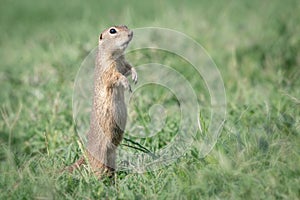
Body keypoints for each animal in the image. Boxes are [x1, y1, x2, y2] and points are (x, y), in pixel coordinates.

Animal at [67, 25, 137, 178]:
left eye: (125, 26)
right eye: (112, 31)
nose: (131, 33)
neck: (115, 55)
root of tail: (87, 152)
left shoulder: (123, 63)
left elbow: (129, 67)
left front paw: (135, 76)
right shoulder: (108, 69)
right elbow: (116, 76)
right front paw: (127, 84)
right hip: (101, 157)